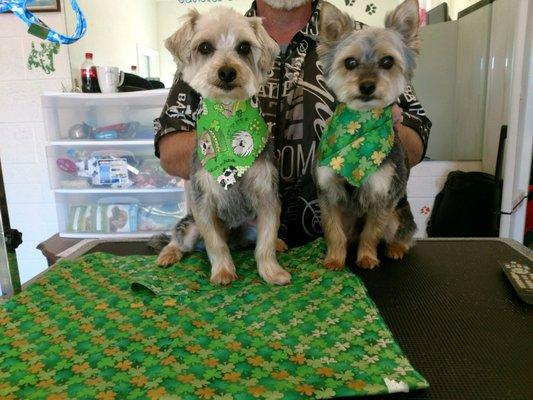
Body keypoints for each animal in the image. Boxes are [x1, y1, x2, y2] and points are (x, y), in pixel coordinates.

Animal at [156, 7, 290, 286]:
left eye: (244, 47)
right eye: (205, 47)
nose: (227, 72)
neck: (227, 118)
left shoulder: (267, 198)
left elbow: (265, 243)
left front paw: (272, 271)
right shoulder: (203, 204)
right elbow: (215, 244)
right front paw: (223, 272)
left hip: (251, 225)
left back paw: (279, 244)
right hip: (190, 225)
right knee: (178, 239)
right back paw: (168, 254)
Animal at [314, 0, 418, 270]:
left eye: (387, 61)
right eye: (350, 62)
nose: (368, 86)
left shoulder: (383, 197)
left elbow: (371, 232)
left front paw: (367, 258)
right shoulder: (328, 192)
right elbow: (333, 231)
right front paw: (334, 260)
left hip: (398, 215)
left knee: (403, 234)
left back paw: (395, 248)